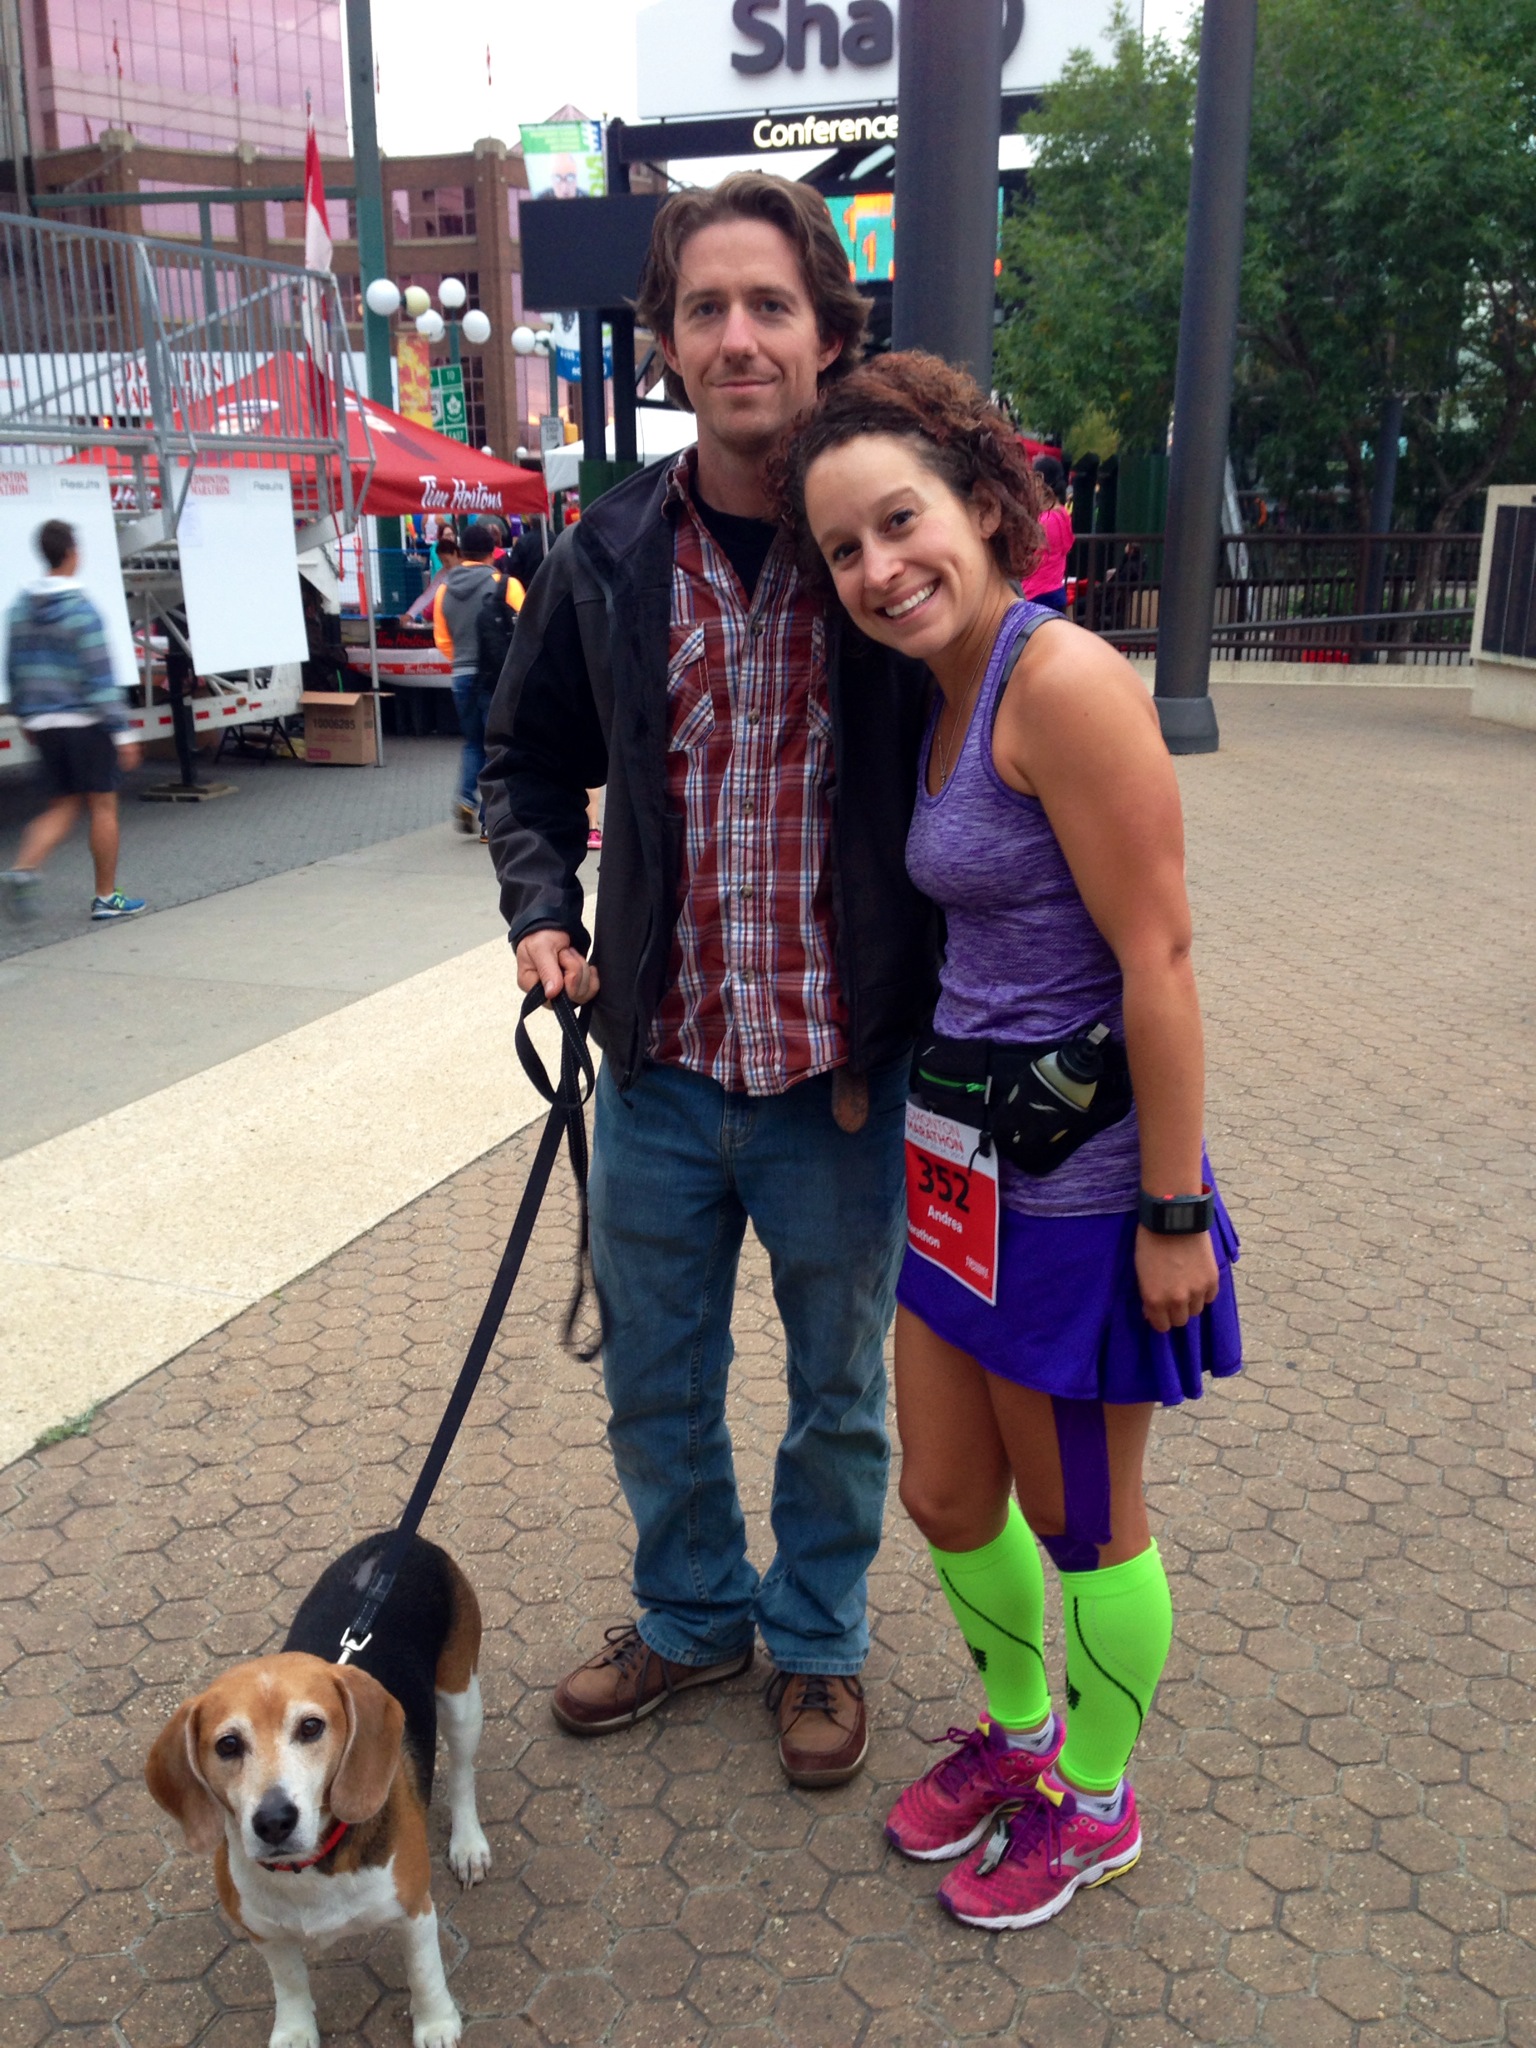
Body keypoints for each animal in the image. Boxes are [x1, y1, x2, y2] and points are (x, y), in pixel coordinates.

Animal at [146, 1534, 491, 2048]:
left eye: (311, 1727)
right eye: (227, 1745)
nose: (273, 1821)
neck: (308, 1869)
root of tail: (400, 1538)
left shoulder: (413, 1908)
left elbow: (423, 1971)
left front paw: (435, 2024)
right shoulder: (266, 1934)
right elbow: (288, 1983)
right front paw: (294, 2031)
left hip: (461, 1695)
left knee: (464, 1773)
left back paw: (468, 1846)